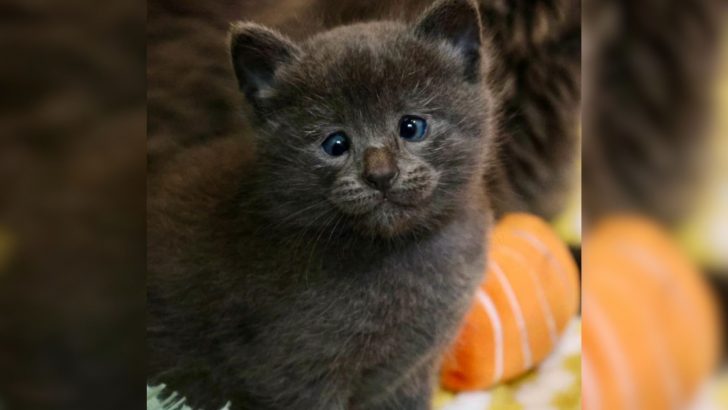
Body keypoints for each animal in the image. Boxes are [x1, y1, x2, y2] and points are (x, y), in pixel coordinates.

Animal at [149, 1, 494, 408]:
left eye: (411, 127)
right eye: (335, 144)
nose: (381, 174)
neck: (397, 251)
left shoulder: (411, 371)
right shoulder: (293, 373)